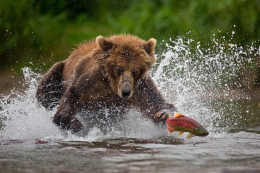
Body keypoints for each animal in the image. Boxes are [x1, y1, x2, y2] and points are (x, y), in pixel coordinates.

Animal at [36, 34, 177, 134]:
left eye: (135, 71)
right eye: (119, 69)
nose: (126, 92)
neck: (111, 85)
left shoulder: (141, 87)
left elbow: (155, 103)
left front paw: (164, 114)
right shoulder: (88, 82)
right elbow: (70, 98)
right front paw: (76, 125)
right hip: (59, 72)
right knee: (45, 90)